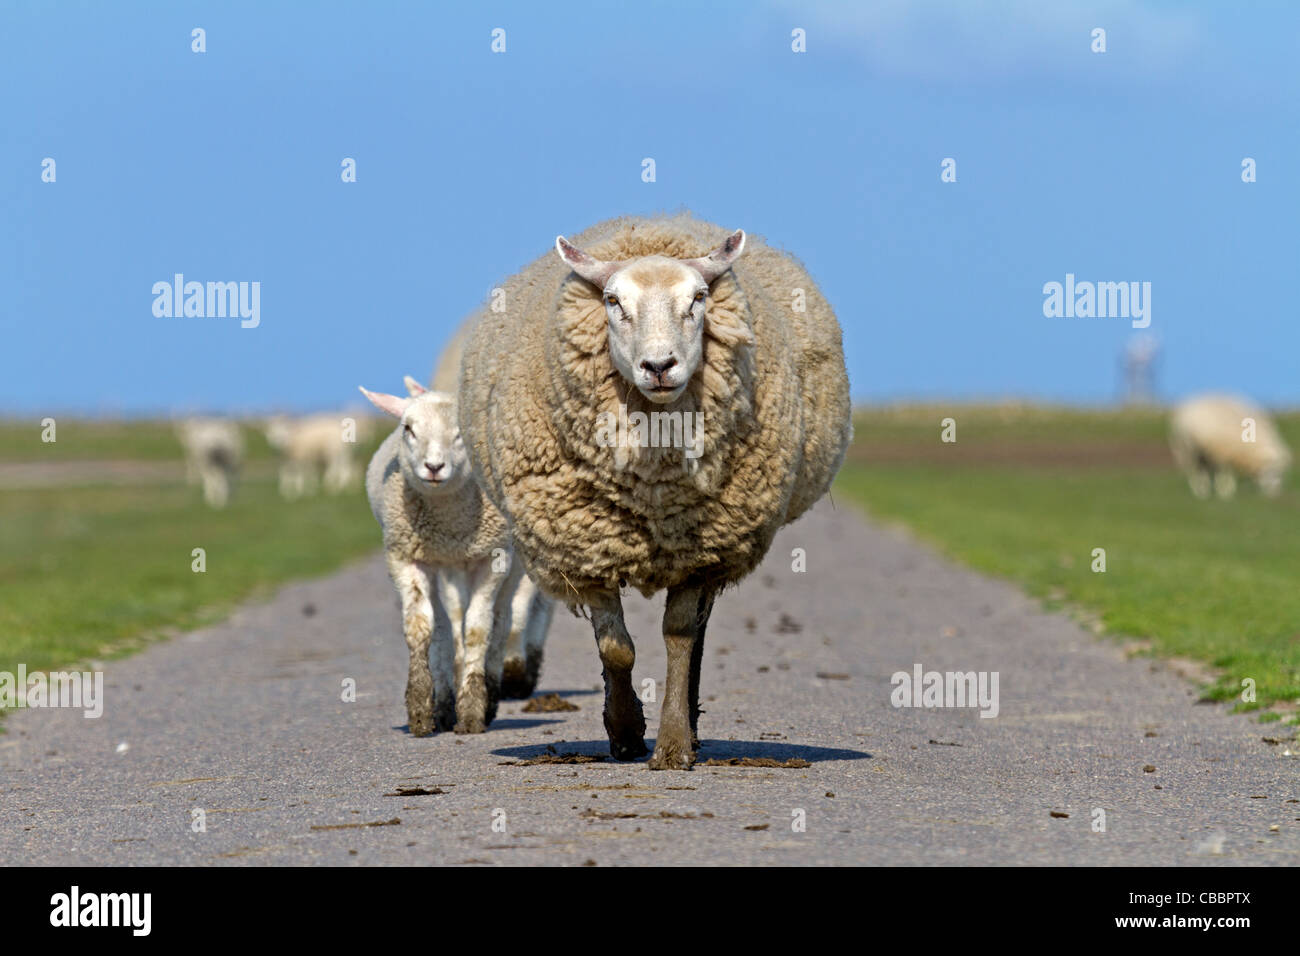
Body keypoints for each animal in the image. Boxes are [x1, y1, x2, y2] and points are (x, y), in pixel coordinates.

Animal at [457, 214, 852, 770]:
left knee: (699, 636)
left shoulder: (701, 548)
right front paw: (624, 730)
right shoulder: (588, 545)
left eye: (699, 298)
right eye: (613, 302)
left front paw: (672, 743)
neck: (654, 482)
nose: (660, 366)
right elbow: (617, 648)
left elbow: (681, 637)